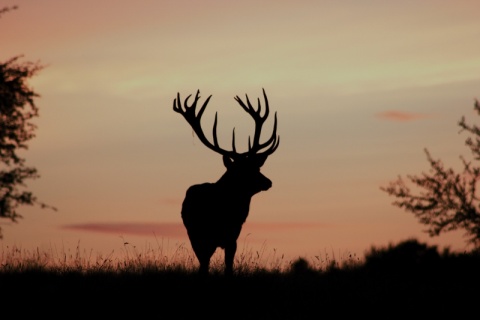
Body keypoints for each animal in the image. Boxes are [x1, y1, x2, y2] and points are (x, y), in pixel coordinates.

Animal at [172, 88, 280, 276]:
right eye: (243, 171)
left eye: (256, 167)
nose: (268, 182)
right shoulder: (203, 238)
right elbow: (205, 265)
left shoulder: (232, 237)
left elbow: (229, 266)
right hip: (194, 235)